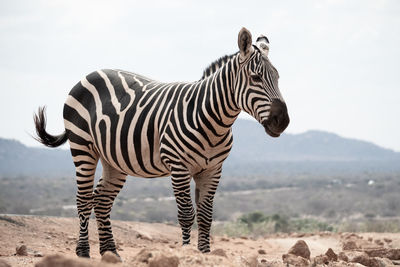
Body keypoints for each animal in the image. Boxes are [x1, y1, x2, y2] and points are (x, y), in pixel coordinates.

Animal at [33, 27, 288, 258]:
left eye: (278, 78)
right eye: (255, 78)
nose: (283, 121)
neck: (213, 120)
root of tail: (89, 74)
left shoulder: (213, 169)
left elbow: (206, 216)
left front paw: (205, 254)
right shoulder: (179, 166)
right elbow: (186, 214)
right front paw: (186, 253)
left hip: (113, 159)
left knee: (102, 200)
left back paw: (110, 252)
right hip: (82, 147)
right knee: (84, 200)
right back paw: (83, 252)